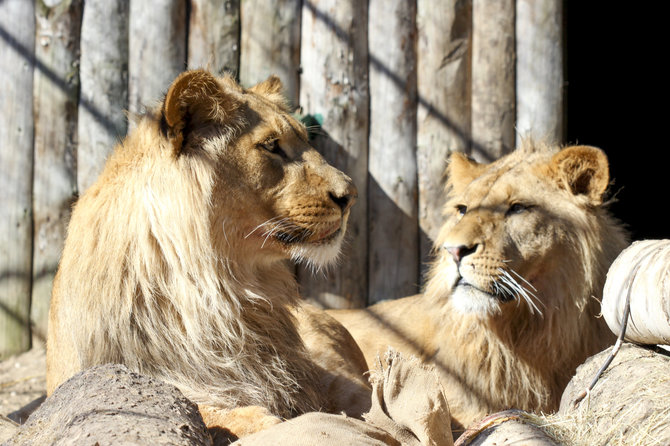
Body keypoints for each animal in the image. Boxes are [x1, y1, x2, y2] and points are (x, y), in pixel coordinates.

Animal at [47, 69, 372, 440]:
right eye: (271, 146)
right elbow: (204, 408)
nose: (351, 195)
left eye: (306, 140)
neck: (218, 290)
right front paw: (263, 421)